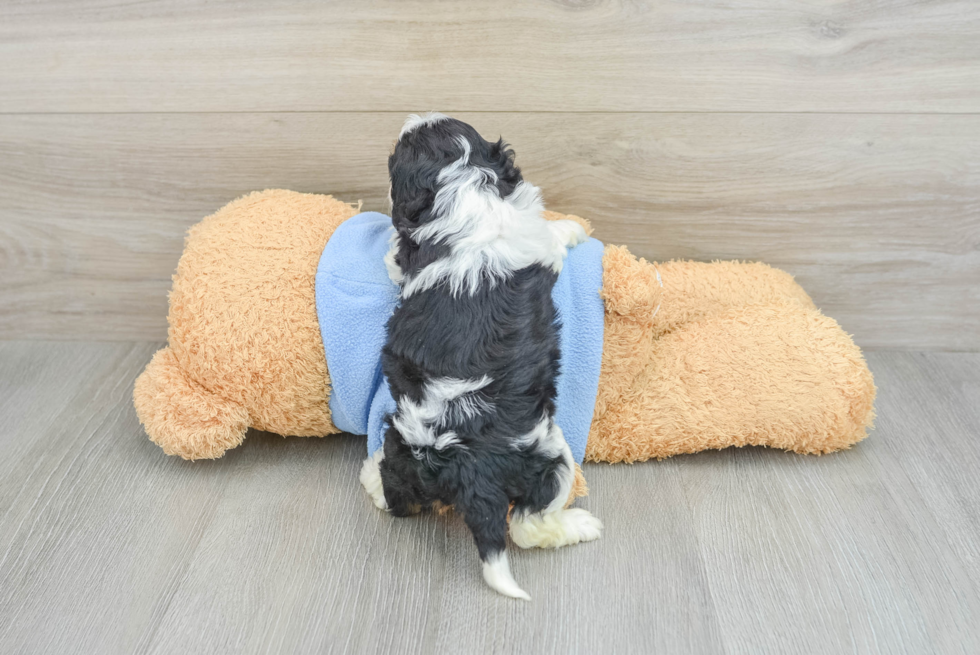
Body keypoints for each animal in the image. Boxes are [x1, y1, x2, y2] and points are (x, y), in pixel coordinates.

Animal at [360, 114, 600, 600]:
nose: (411, 117)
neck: (463, 187)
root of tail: (464, 466)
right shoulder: (535, 237)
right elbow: (554, 234)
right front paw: (575, 228)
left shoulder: (406, 254)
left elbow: (394, 260)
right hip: (551, 458)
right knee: (526, 525)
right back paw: (580, 524)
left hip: (401, 447)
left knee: (398, 498)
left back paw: (371, 477)